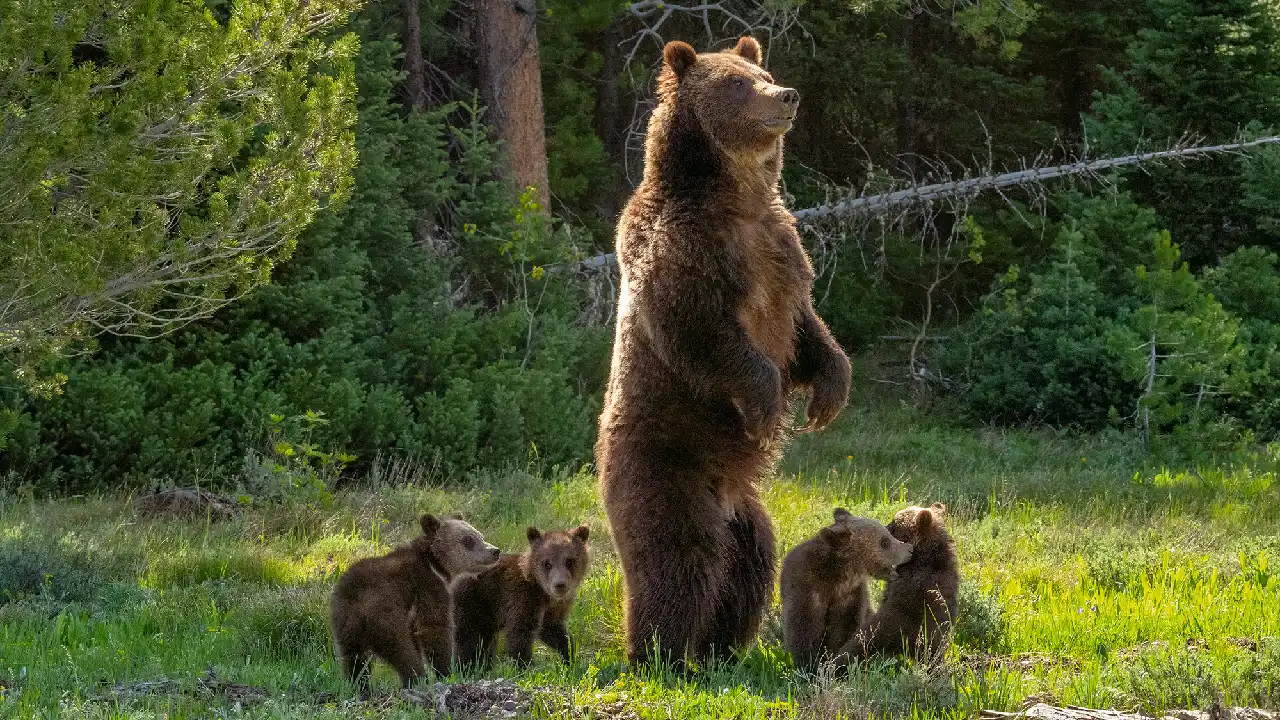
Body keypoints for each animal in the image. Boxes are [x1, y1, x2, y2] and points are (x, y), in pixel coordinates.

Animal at [330, 509, 499, 691]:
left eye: (480, 535)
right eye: (468, 540)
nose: (495, 551)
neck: (435, 564)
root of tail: (355, 600)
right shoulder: (427, 588)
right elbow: (434, 628)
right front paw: (446, 671)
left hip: (345, 625)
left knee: (353, 659)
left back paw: (360, 686)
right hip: (385, 615)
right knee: (403, 651)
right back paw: (417, 678)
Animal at [450, 520, 588, 661]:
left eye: (569, 561)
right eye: (547, 563)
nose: (560, 584)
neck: (542, 592)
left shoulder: (552, 610)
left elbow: (554, 631)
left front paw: (570, 655)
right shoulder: (520, 600)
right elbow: (519, 636)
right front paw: (525, 663)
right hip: (470, 605)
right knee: (468, 640)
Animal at [596, 33, 855, 661]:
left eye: (763, 72)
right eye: (736, 84)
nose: (786, 95)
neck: (736, 198)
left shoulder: (782, 250)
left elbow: (807, 330)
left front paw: (828, 395)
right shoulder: (683, 250)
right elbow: (703, 332)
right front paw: (766, 405)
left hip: (745, 513)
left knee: (749, 563)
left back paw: (722, 646)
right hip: (664, 466)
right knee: (680, 557)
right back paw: (660, 652)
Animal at [778, 504, 911, 666]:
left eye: (887, 532)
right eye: (884, 542)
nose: (910, 548)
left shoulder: (850, 596)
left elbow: (844, 630)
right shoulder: (807, 589)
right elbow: (803, 630)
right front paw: (810, 663)